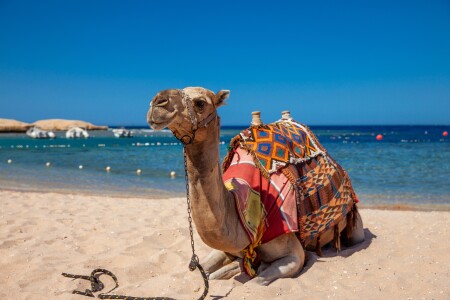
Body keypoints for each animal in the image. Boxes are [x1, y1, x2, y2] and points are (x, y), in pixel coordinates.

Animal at [148, 87, 366, 286]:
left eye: (200, 102)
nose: (157, 102)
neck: (241, 207)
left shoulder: (293, 254)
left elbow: (256, 282)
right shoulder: (227, 248)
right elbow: (198, 273)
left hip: (355, 230)